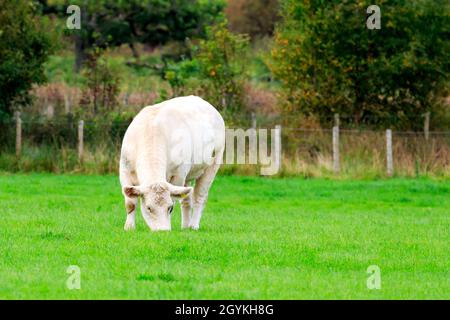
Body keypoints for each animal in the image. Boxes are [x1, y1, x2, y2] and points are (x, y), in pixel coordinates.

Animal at [119, 94, 225, 230]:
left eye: (169, 208)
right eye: (149, 208)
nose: (162, 231)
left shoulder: (178, 174)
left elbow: (174, 199)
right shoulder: (125, 171)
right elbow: (130, 203)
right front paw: (129, 227)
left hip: (212, 165)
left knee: (199, 197)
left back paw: (193, 225)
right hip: (188, 175)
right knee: (186, 200)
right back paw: (185, 226)